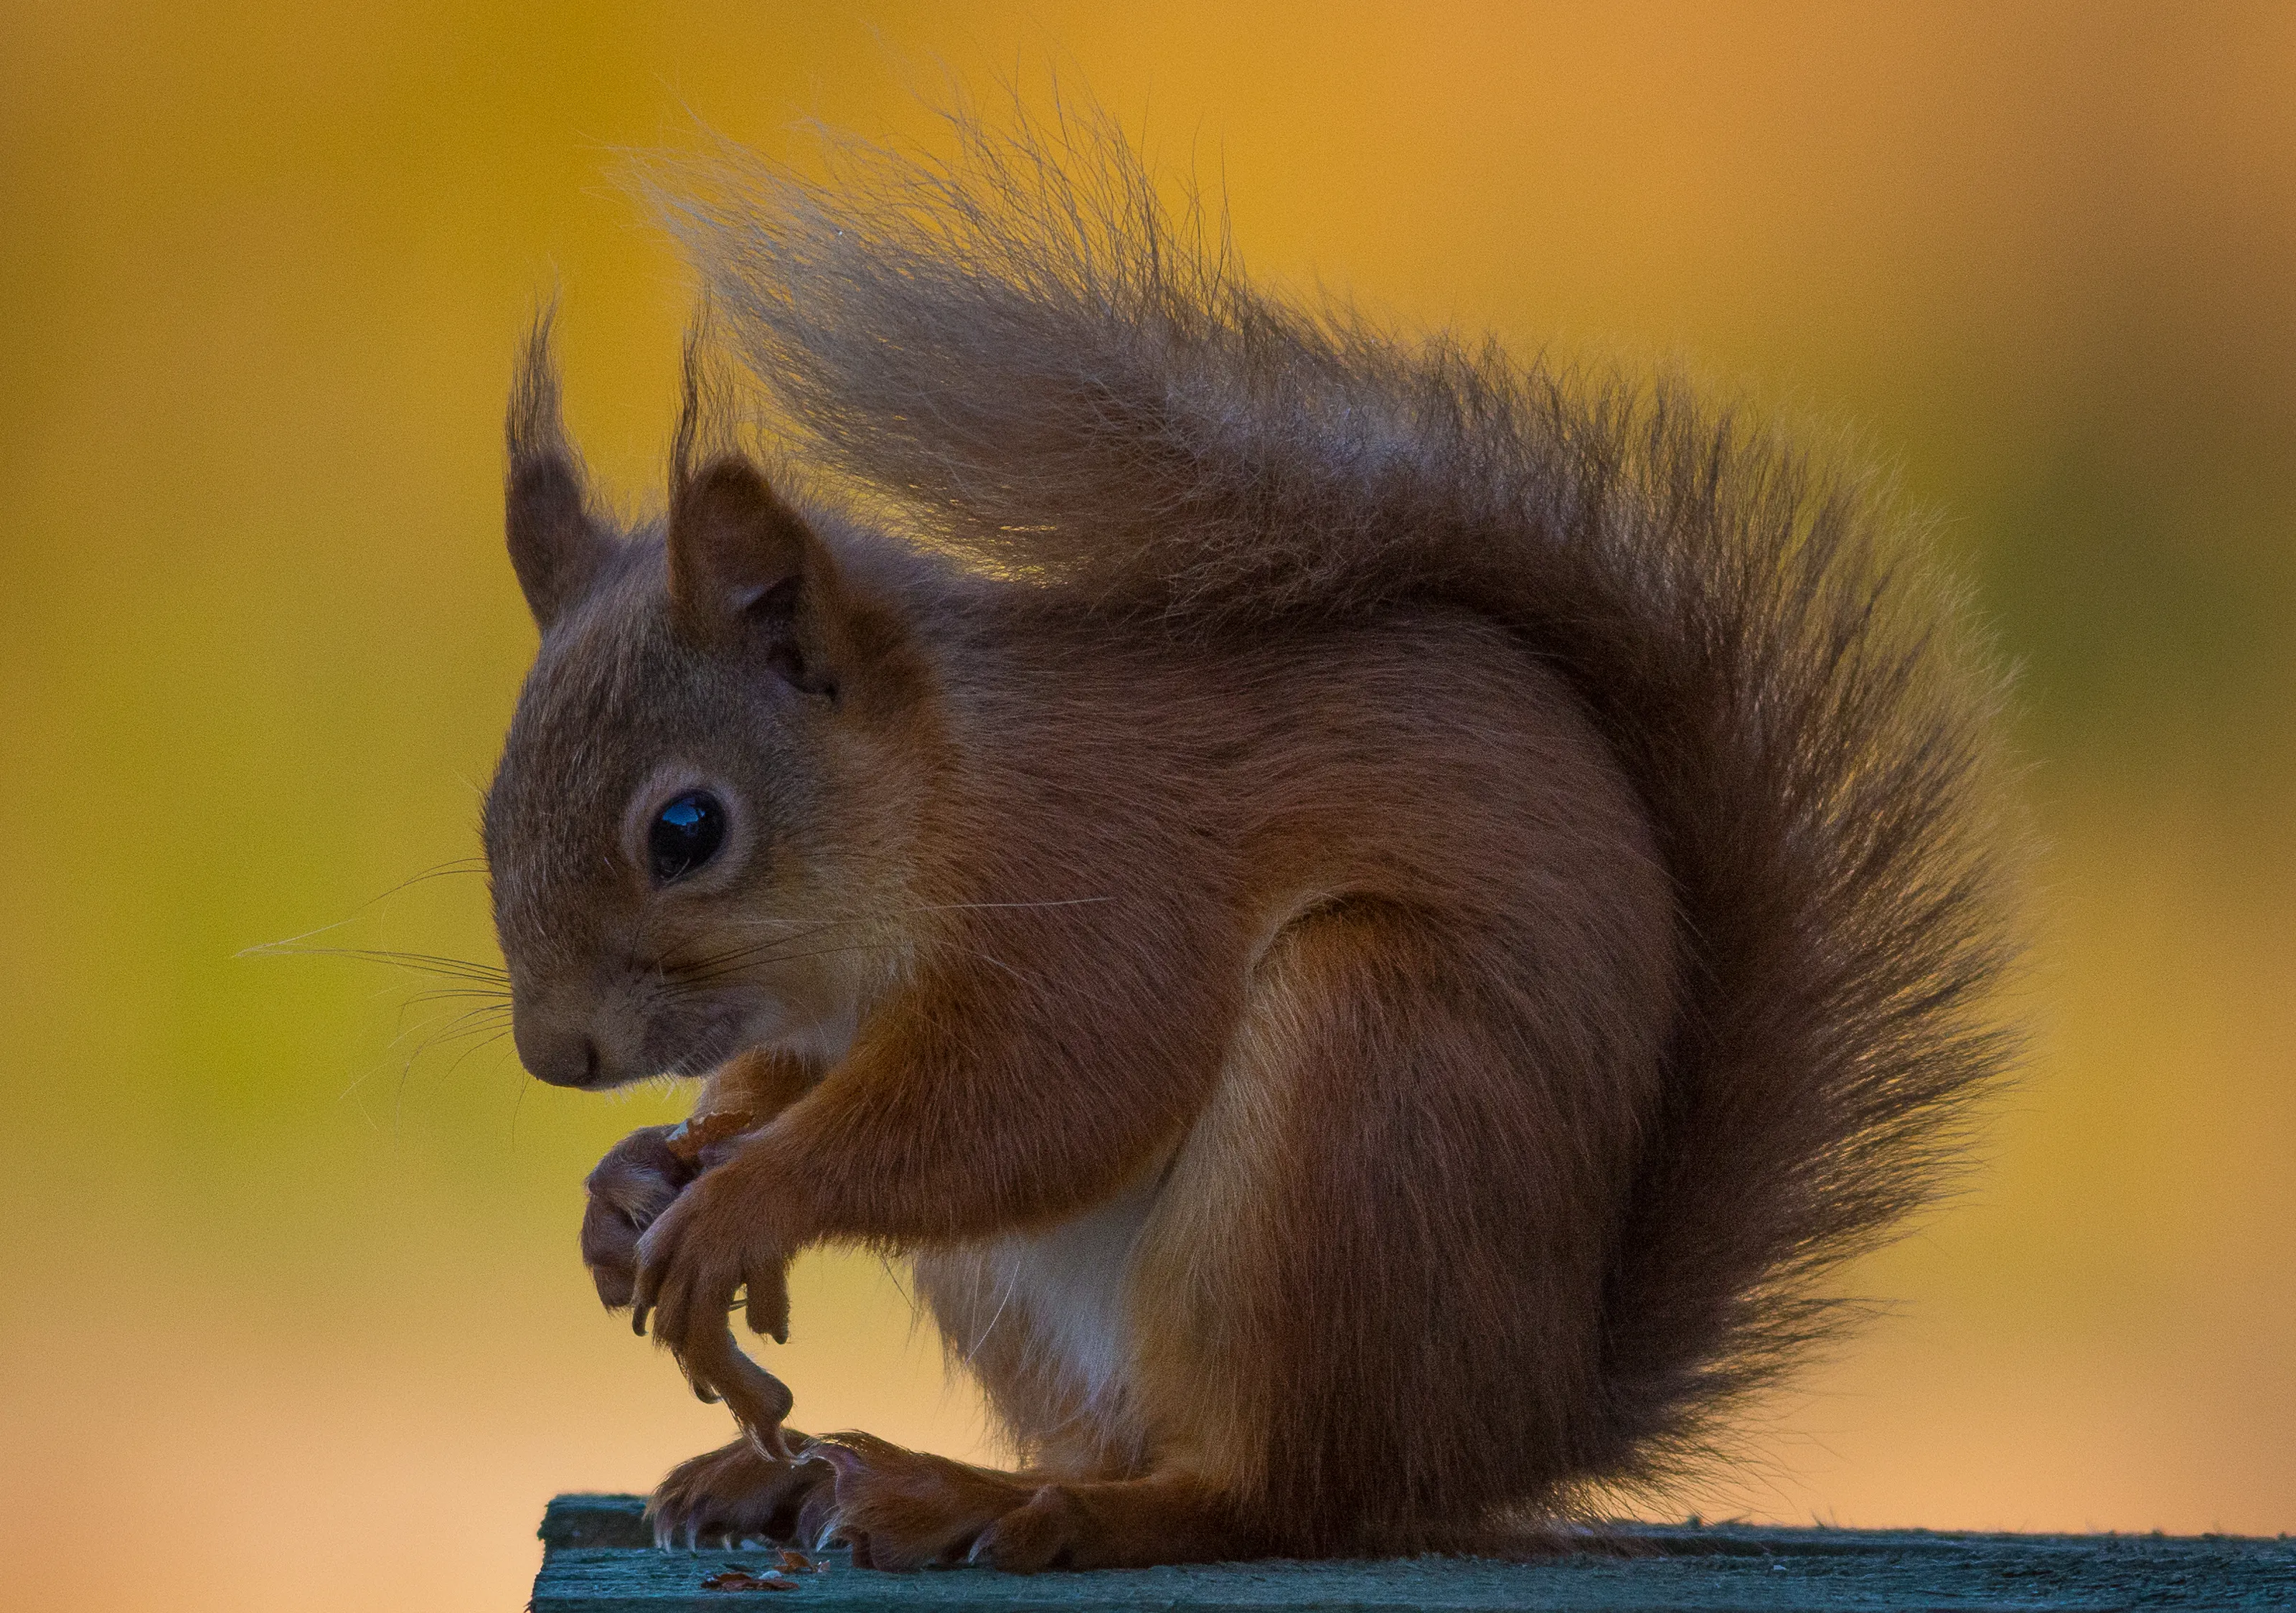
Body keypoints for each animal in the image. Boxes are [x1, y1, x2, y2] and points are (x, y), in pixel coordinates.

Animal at [481, 107, 2019, 1569]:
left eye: (689, 828)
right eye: (493, 805)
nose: (557, 1056)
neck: (940, 787)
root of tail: (1525, 1422)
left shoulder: (1102, 878)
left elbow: (1056, 1086)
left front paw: (750, 1195)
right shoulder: (834, 1013)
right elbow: (793, 1080)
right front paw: (634, 1184)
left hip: (1363, 1092)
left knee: (1273, 1492)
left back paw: (1037, 1506)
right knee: (1136, 1438)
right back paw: (839, 1477)